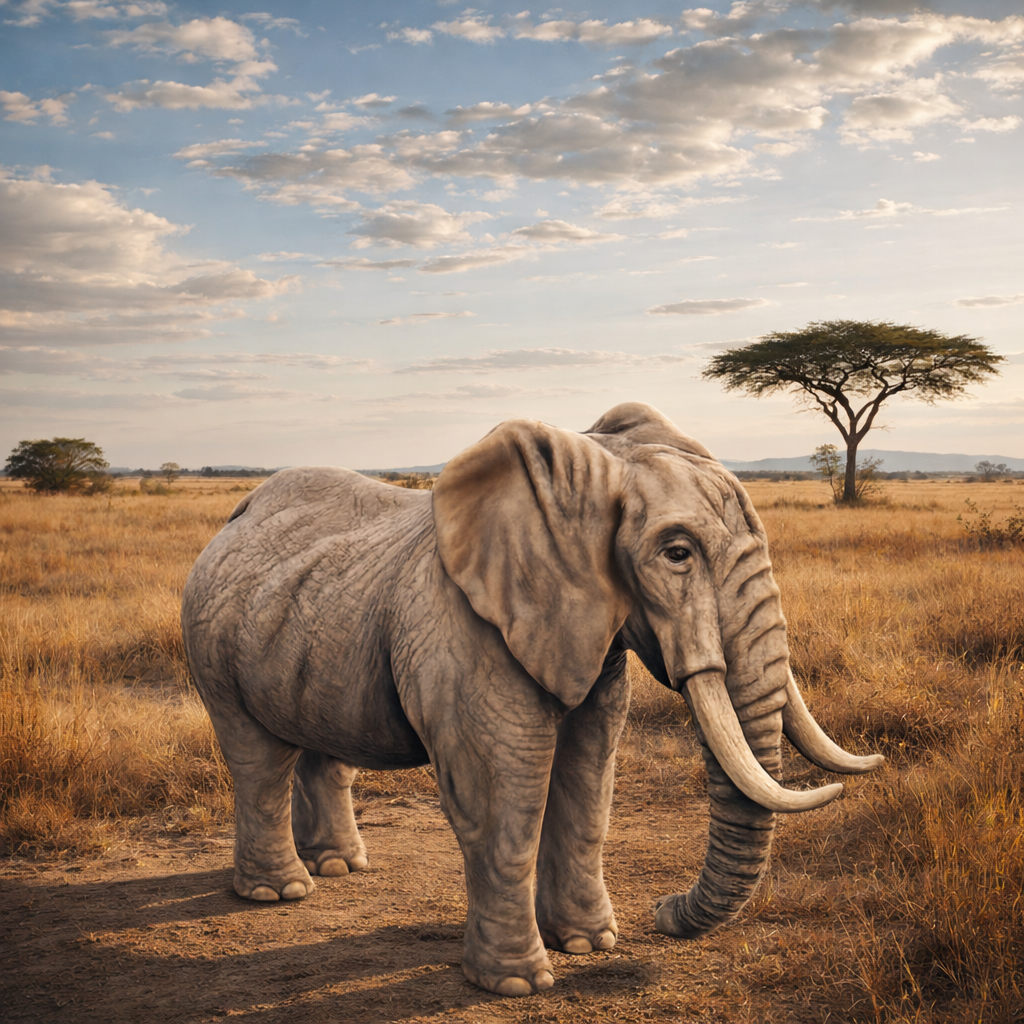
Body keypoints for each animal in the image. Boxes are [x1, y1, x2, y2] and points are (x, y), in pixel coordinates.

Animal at [180, 401, 883, 997]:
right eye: (677, 553)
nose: (662, 911)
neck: (587, 463)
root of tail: (235, 517)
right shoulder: (464, 629)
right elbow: (502, 791)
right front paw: (519, 984)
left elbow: (589, 775)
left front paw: (590, 945)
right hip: (210, 636)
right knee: (257, 758)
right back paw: (280, 893)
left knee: (320, 746)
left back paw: (339, 868)